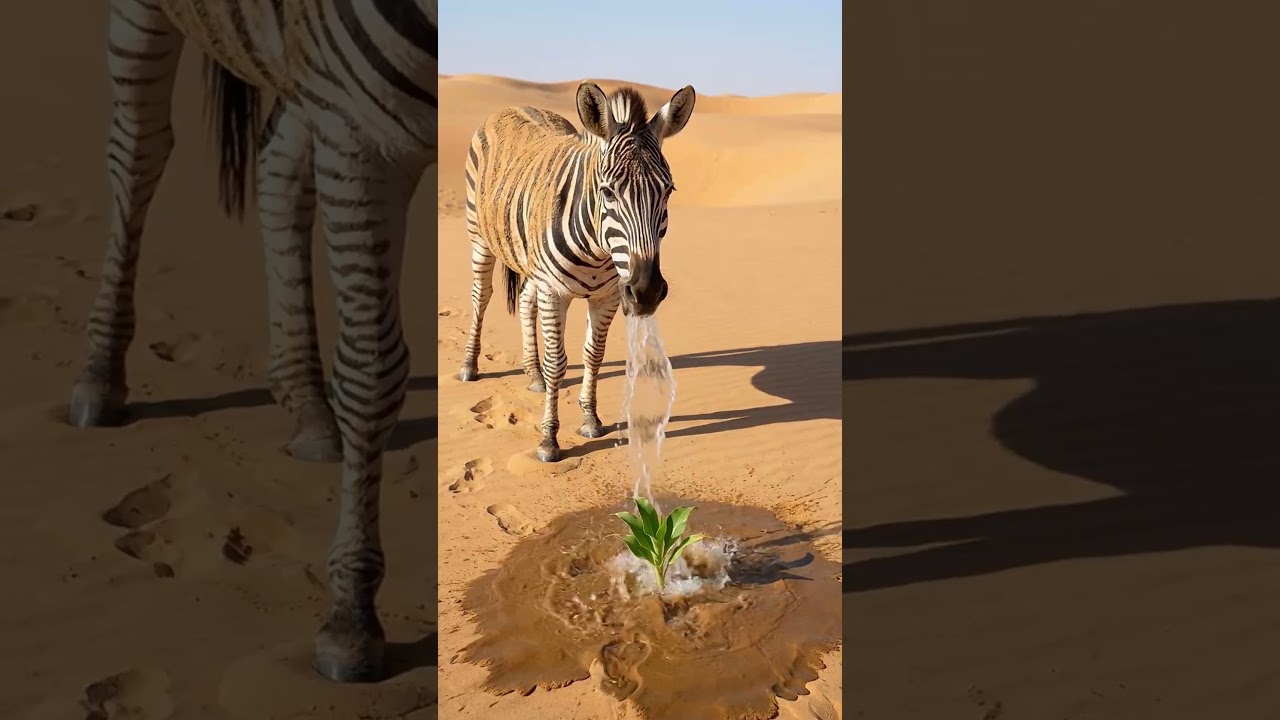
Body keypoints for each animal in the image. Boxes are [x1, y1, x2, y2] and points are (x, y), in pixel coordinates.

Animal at [67, 0, 437, 683]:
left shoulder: (334, 102)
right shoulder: (359, 131)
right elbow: (371, 370)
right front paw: (350, 619)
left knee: (275, 170)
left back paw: (309, 408)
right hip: (149, 18)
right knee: (137, 152)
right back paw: (100, 377)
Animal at [458, 81, 696, 463]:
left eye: (668, 190)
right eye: (608, 192)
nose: (645, 291)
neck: (597, 251)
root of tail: (513, 106)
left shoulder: (608, 296)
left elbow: (593, 356)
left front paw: (590, 420)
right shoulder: (555, 292)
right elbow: (558, 362)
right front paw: (549, 441)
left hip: (532, 267)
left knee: (525, 301)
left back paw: (533, 374)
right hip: (479, 236)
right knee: (481, 297)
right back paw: (470, 366)